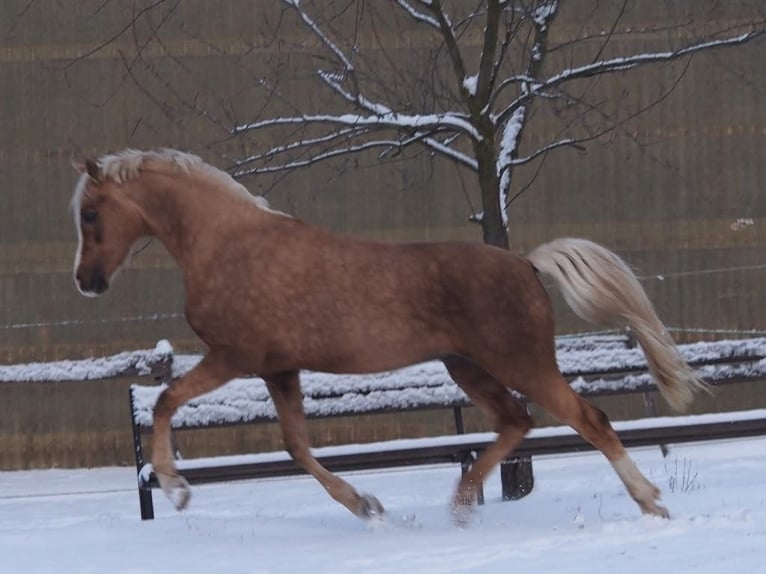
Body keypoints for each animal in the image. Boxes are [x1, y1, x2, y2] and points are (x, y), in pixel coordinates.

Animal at [71, 148, 705, 523]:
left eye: (91, 214)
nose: (85, 281)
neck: (226, 245)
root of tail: (526, 264)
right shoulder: (279, 369)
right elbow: (297, 448)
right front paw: (365, 505)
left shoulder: (234, 356)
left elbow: (164, 401)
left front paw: (176, 487)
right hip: (467, 367)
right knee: (515, 422)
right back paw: (460, 504)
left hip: (521, 363)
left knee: (587, 420)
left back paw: (650, 502)